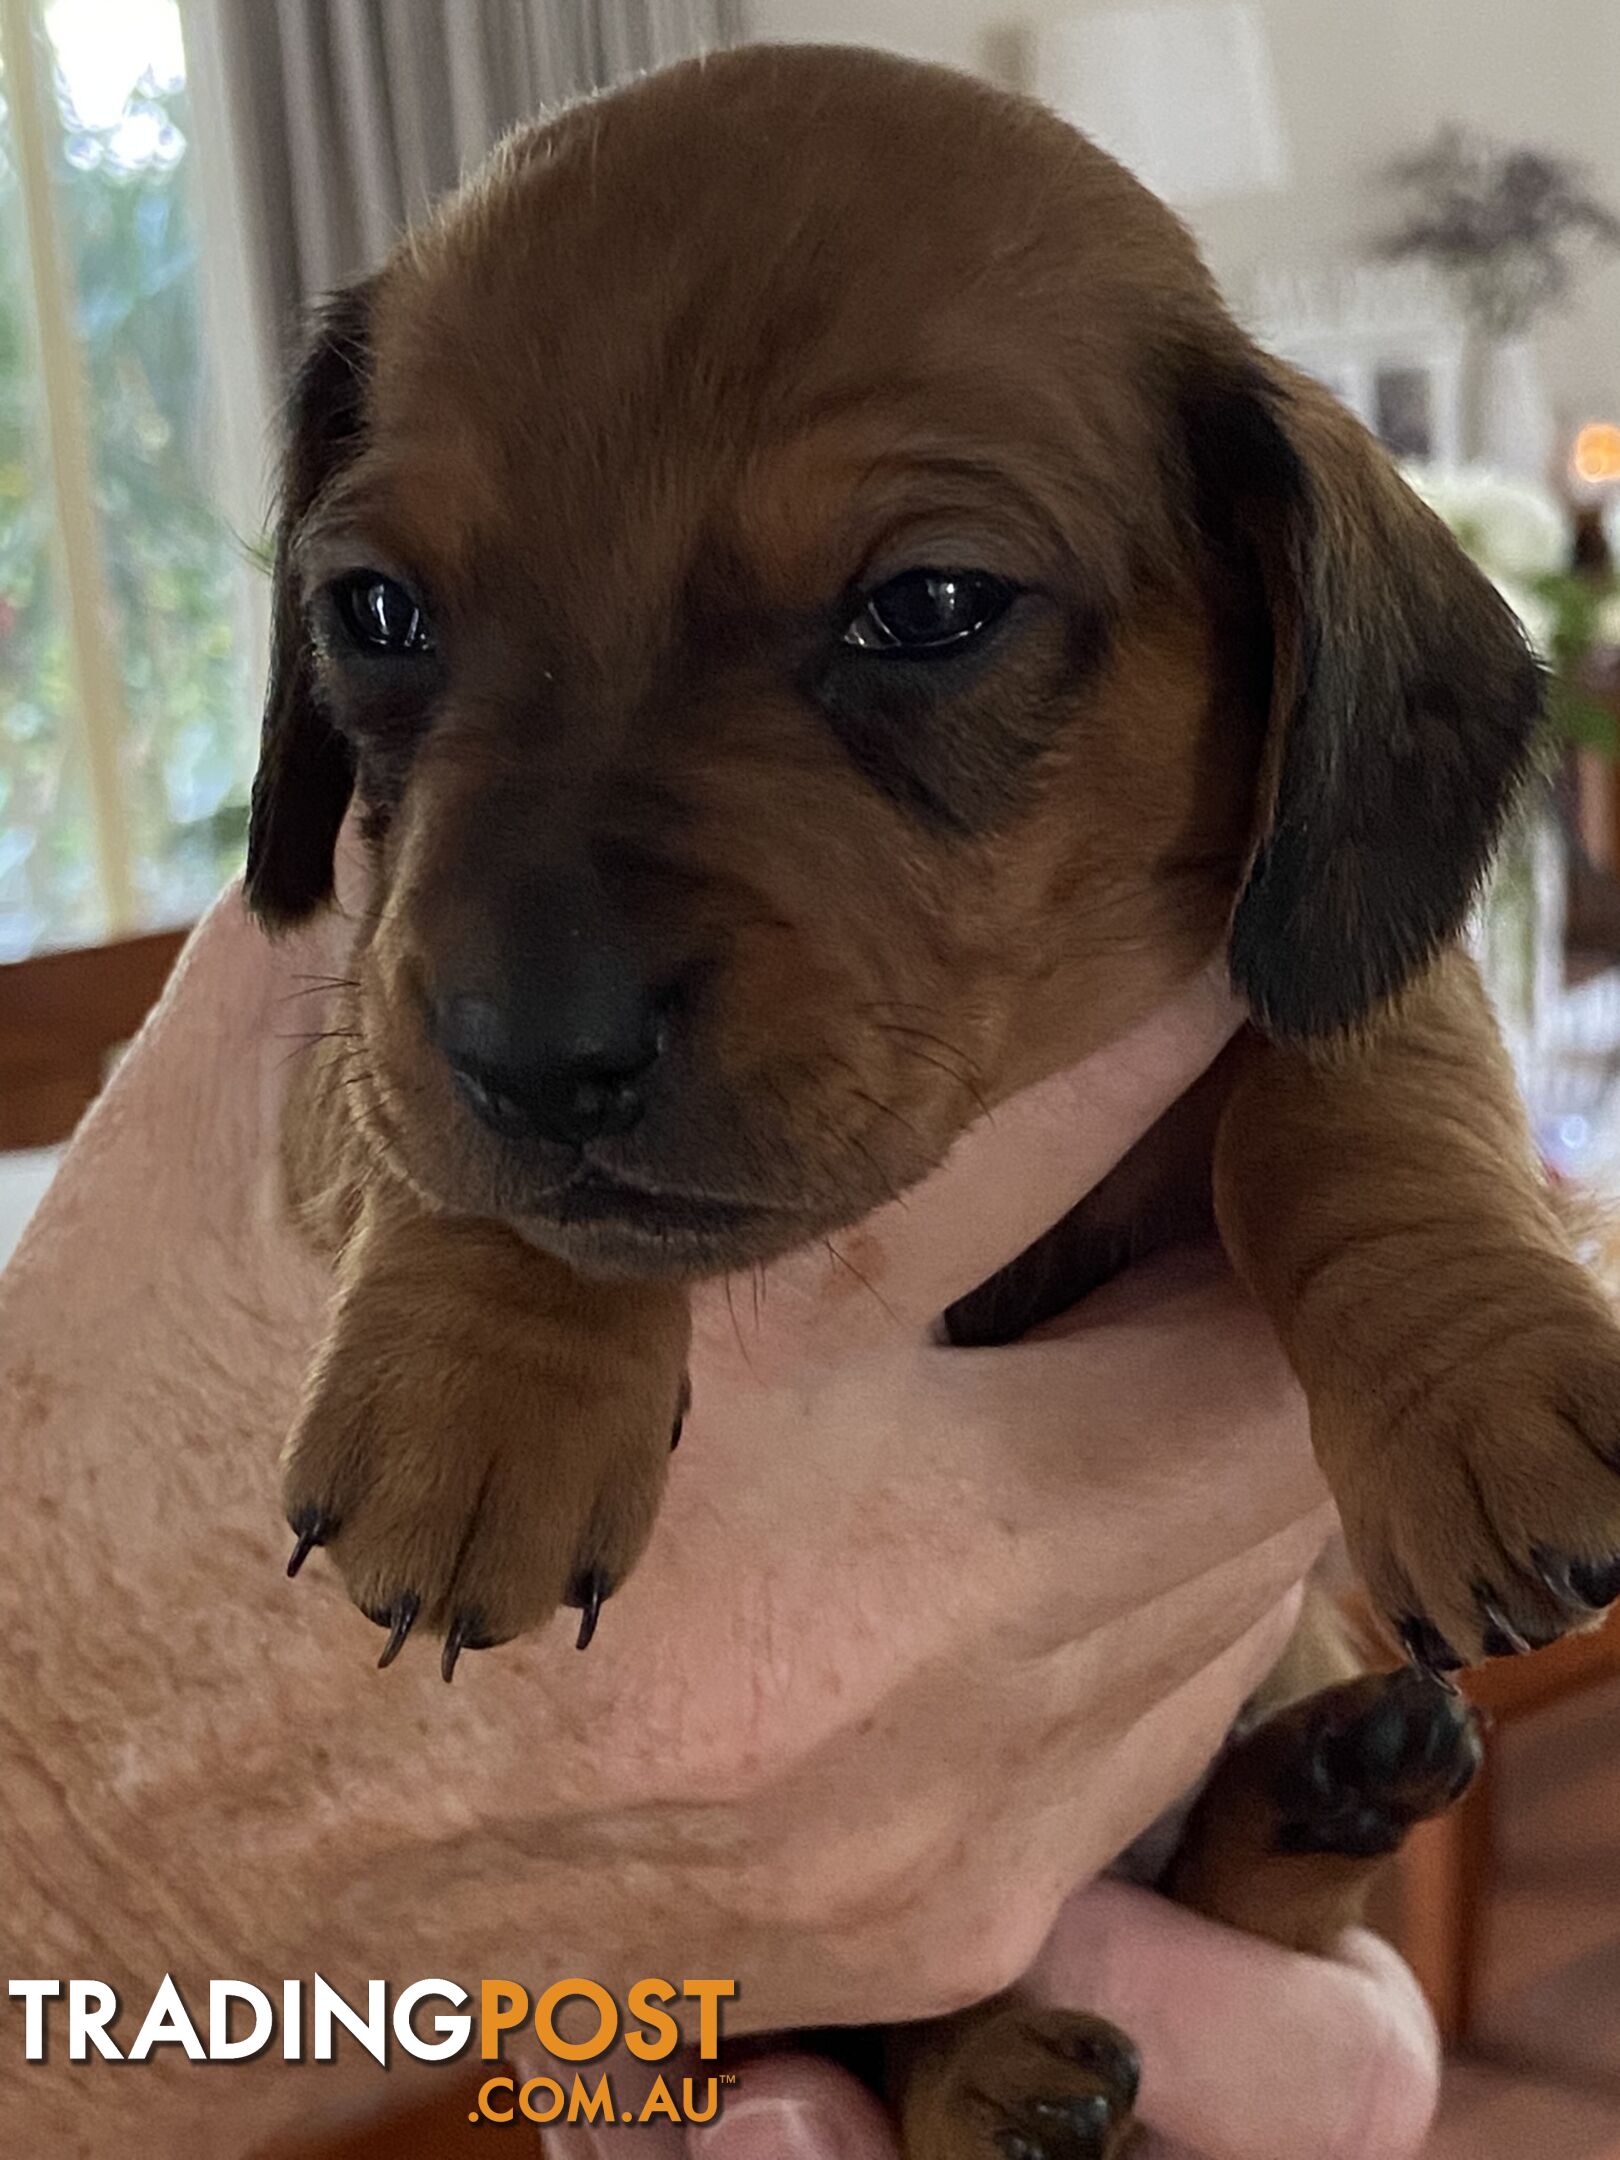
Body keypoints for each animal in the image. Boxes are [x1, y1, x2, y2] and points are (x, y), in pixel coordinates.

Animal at [247, 42, 1620, 2151]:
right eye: (375, 612)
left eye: (933, 604)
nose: (535, 1042)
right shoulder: (369, 1005)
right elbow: (456, 1161)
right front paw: (478, 1392)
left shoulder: (1301, 956)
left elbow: (1355, 1095)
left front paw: (1485, 1385)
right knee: (876, 2011)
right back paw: (1001, 2066)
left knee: (1240, 1902)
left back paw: (1331, 1788)